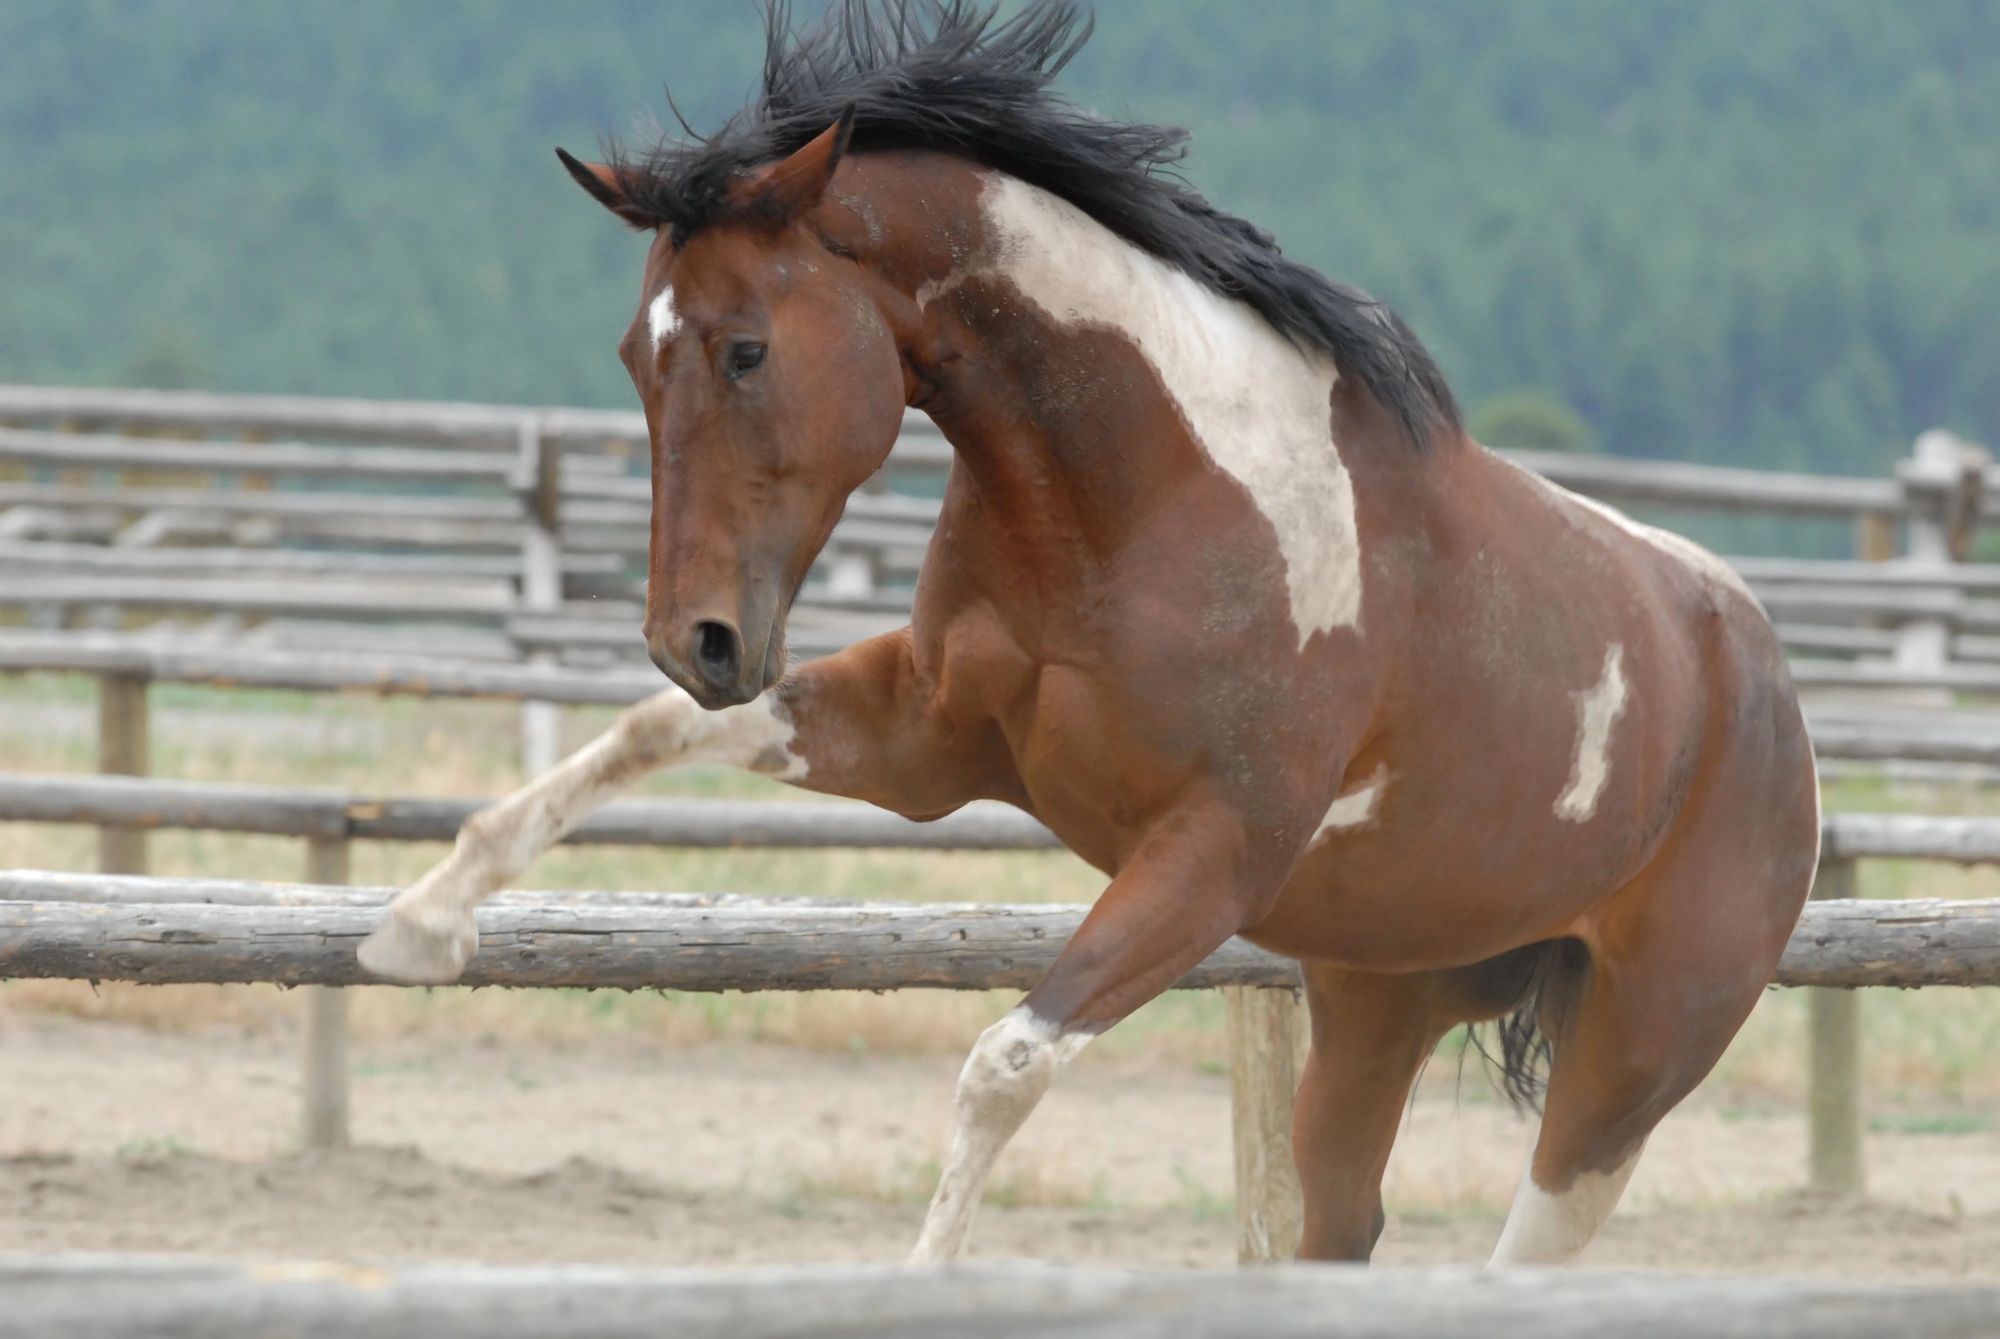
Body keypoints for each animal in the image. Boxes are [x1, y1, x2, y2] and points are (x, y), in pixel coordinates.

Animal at [352, 0, 1824, 1271]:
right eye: (632, 353)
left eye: (746, 349)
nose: (698, 636)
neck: (1136, 501)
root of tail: (1762, 674)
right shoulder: (926, 745)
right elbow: (646, 734)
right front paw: (421, 925)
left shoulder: (1210, 855)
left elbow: (1003, 1063)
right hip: (1374, 1003)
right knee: (1341, 1227)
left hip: (1629, 1067)